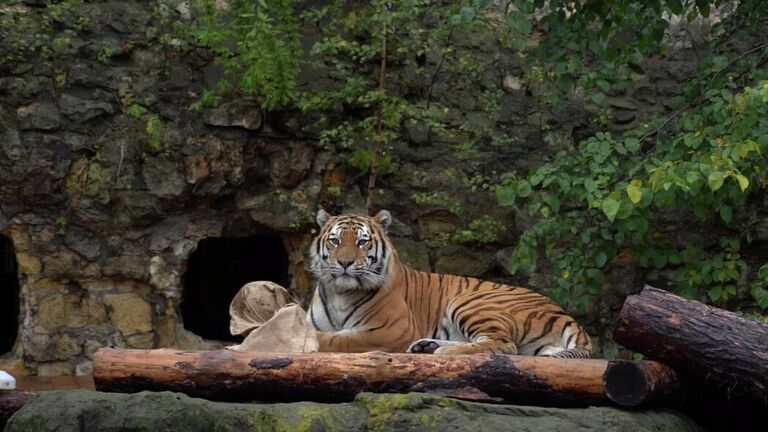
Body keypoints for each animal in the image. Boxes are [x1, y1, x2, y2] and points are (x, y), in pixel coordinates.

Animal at [308, 210, 592, 358]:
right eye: (335, 241)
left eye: (362, 242)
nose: (344, 262)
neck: (340, 292)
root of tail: (564, 313)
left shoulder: (390, 330)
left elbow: (341, 339)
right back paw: (427, 346)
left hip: (469, 301)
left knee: (503, 345)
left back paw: (442, 352)